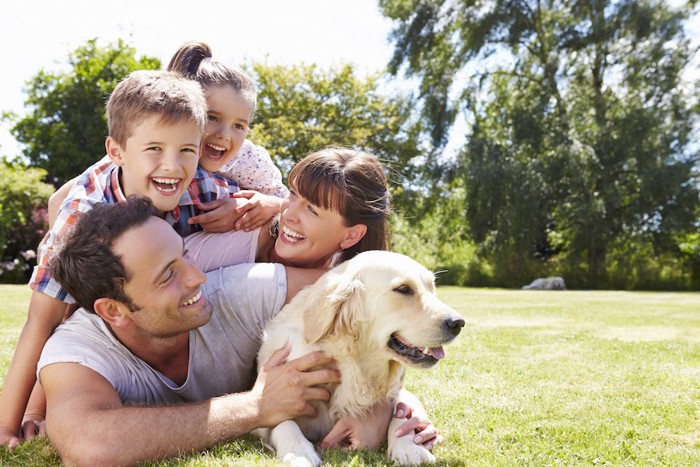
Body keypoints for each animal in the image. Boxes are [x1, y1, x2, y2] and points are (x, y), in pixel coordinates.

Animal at [253, 250, 464, 466]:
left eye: (432, 288)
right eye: (404, 289)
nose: (458, 323)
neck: (352, 364)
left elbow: (401, 412)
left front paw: (409, 448)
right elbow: (282, 420)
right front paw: (298, 451)